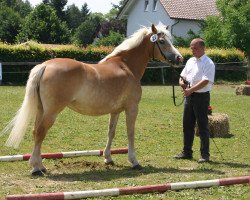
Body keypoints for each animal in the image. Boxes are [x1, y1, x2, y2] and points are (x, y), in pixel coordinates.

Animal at [1, 24, 182, 175]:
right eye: (162, 41)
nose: (179, 58)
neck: (126, 66)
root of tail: (45, 65)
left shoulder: (115, 111)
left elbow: (111, 132)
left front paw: (108, 158)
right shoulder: (132, 108)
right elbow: (130, 133)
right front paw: (134, 161)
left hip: (41, 110)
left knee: (35, 132)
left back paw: (40, 165)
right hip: (51, 112)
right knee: (40, 133)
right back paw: (36, 168)